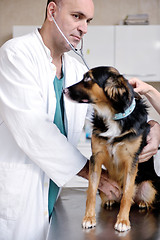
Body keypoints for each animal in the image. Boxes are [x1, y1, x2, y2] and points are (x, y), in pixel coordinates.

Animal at [63, 66, 158, 232]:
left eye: (88, 78)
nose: (64, 90)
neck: (113, 116)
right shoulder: (96, 158)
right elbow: (91, 191)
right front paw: (89, 218)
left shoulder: (132, 161)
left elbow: (127, 194)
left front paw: (123, 221)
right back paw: (110, 201)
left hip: (150, 186)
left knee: (132, 198)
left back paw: (142, 202)